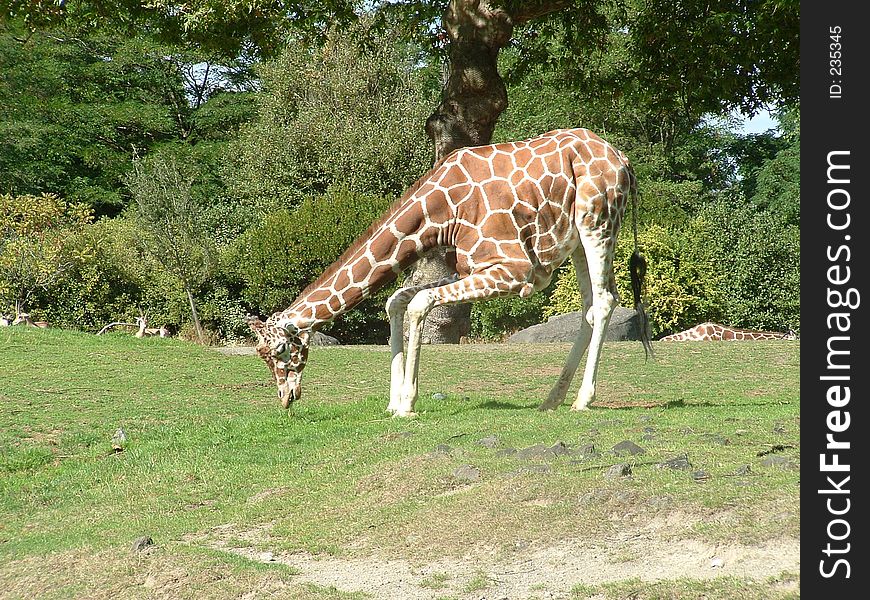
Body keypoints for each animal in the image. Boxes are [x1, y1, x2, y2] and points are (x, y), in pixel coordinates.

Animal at [249, 126, 652, 418]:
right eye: (262, 355)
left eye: (282, 349)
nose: (285, 398)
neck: (441, 212)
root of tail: (625, 161)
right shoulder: (468, 267)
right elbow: (397, 301)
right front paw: (393, 402)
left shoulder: (517, 271)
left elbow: (418, 304)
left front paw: (407, 403)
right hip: (578, 240)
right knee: (589, 307)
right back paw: (552, 399)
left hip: (596, 222)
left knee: (604, 300)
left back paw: (582, 400)